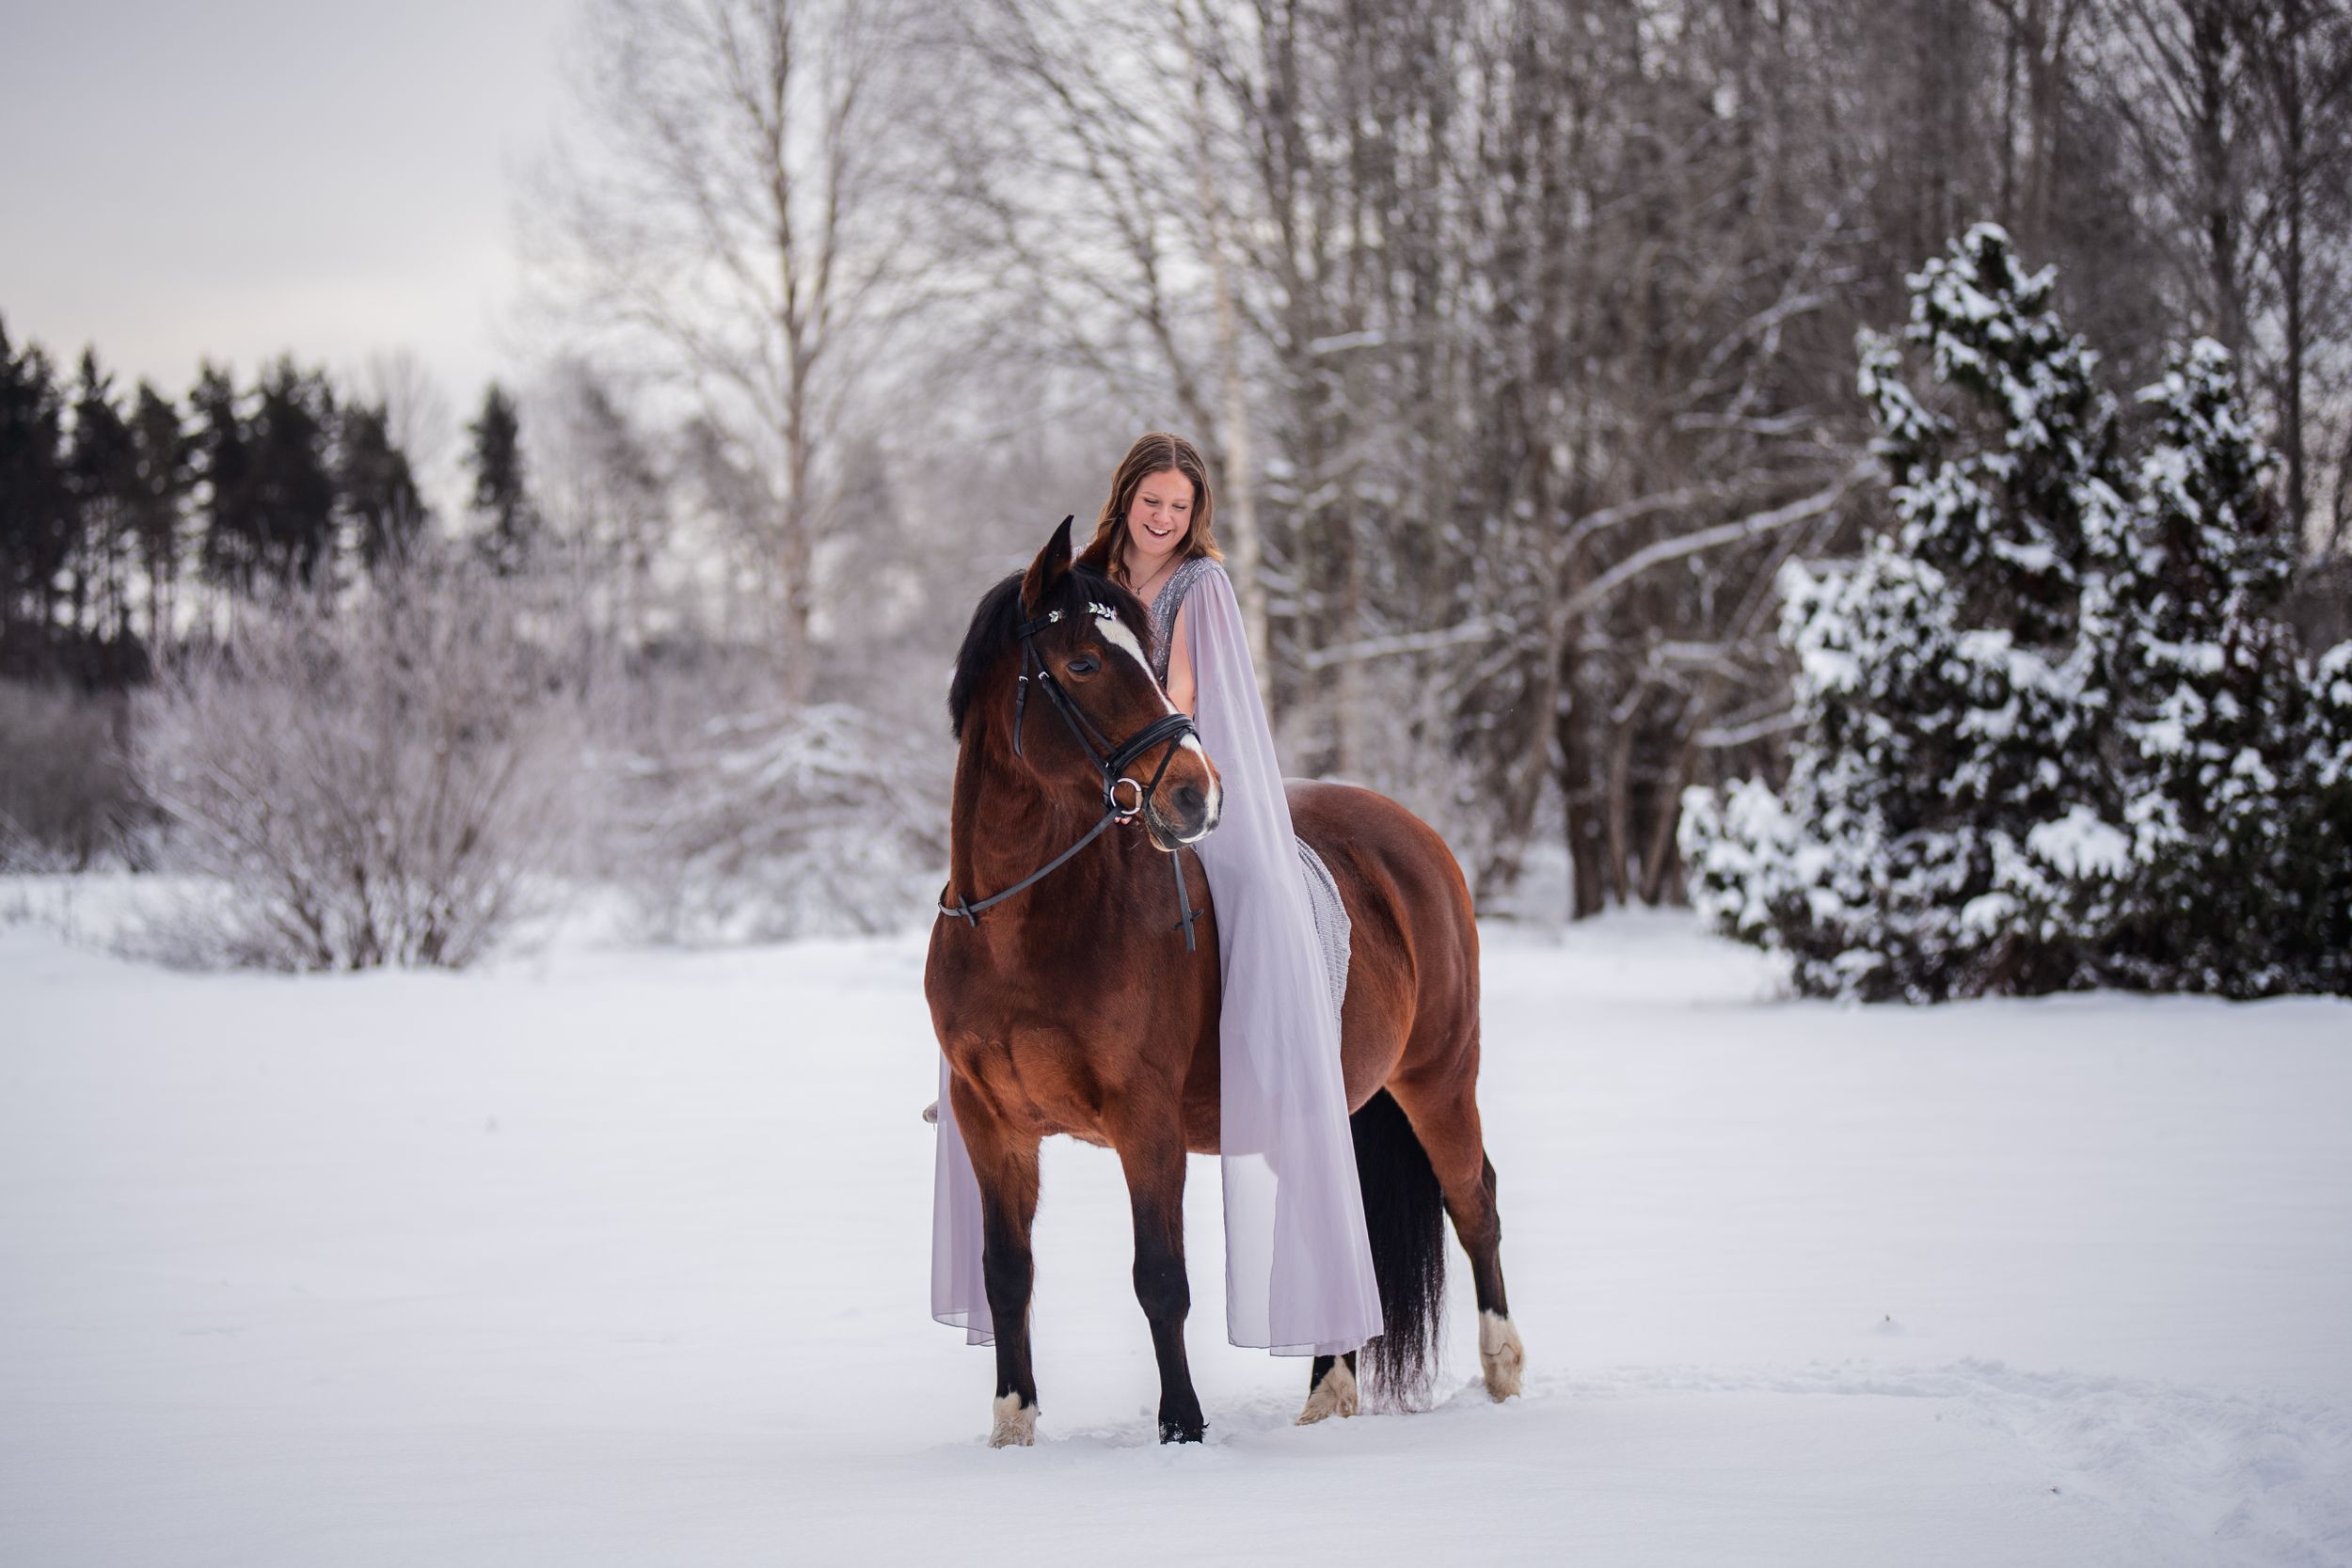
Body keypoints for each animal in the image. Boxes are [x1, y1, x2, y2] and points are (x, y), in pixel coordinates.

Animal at [924, 516, 1523, 1446]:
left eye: (1145, 656)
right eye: (1083, 663)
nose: (1193, 794)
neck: (1025, 927)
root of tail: (1417, 836)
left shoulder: (1146, 1119)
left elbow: (1160, 1278)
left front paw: (1183, 1428)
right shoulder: (991, 1122)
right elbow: (1006, 1272)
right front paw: (1013, 1425)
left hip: (1439, 1076)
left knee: (1475, 1201)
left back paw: (1499, 1369)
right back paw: (1328, 1390)